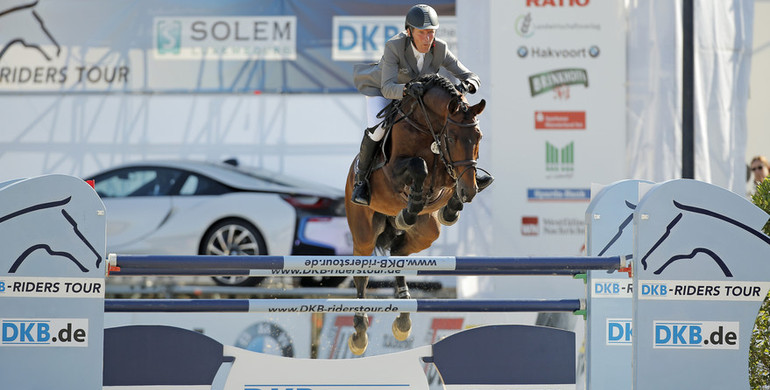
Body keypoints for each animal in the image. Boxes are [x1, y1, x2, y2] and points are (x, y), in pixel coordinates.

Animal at [344, 74, 486, 356]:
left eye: (478, 137)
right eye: (452, 138)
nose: (470, 192)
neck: (427, 126)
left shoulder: (449, 173)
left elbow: (450, 178)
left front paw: (451, 208)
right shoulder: (394, 172)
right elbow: (419, 166)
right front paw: (416, 201)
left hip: (426, 233)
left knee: (398, 252)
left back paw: (403, 315)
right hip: (363, 234)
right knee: (361, 273)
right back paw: (360, 331)